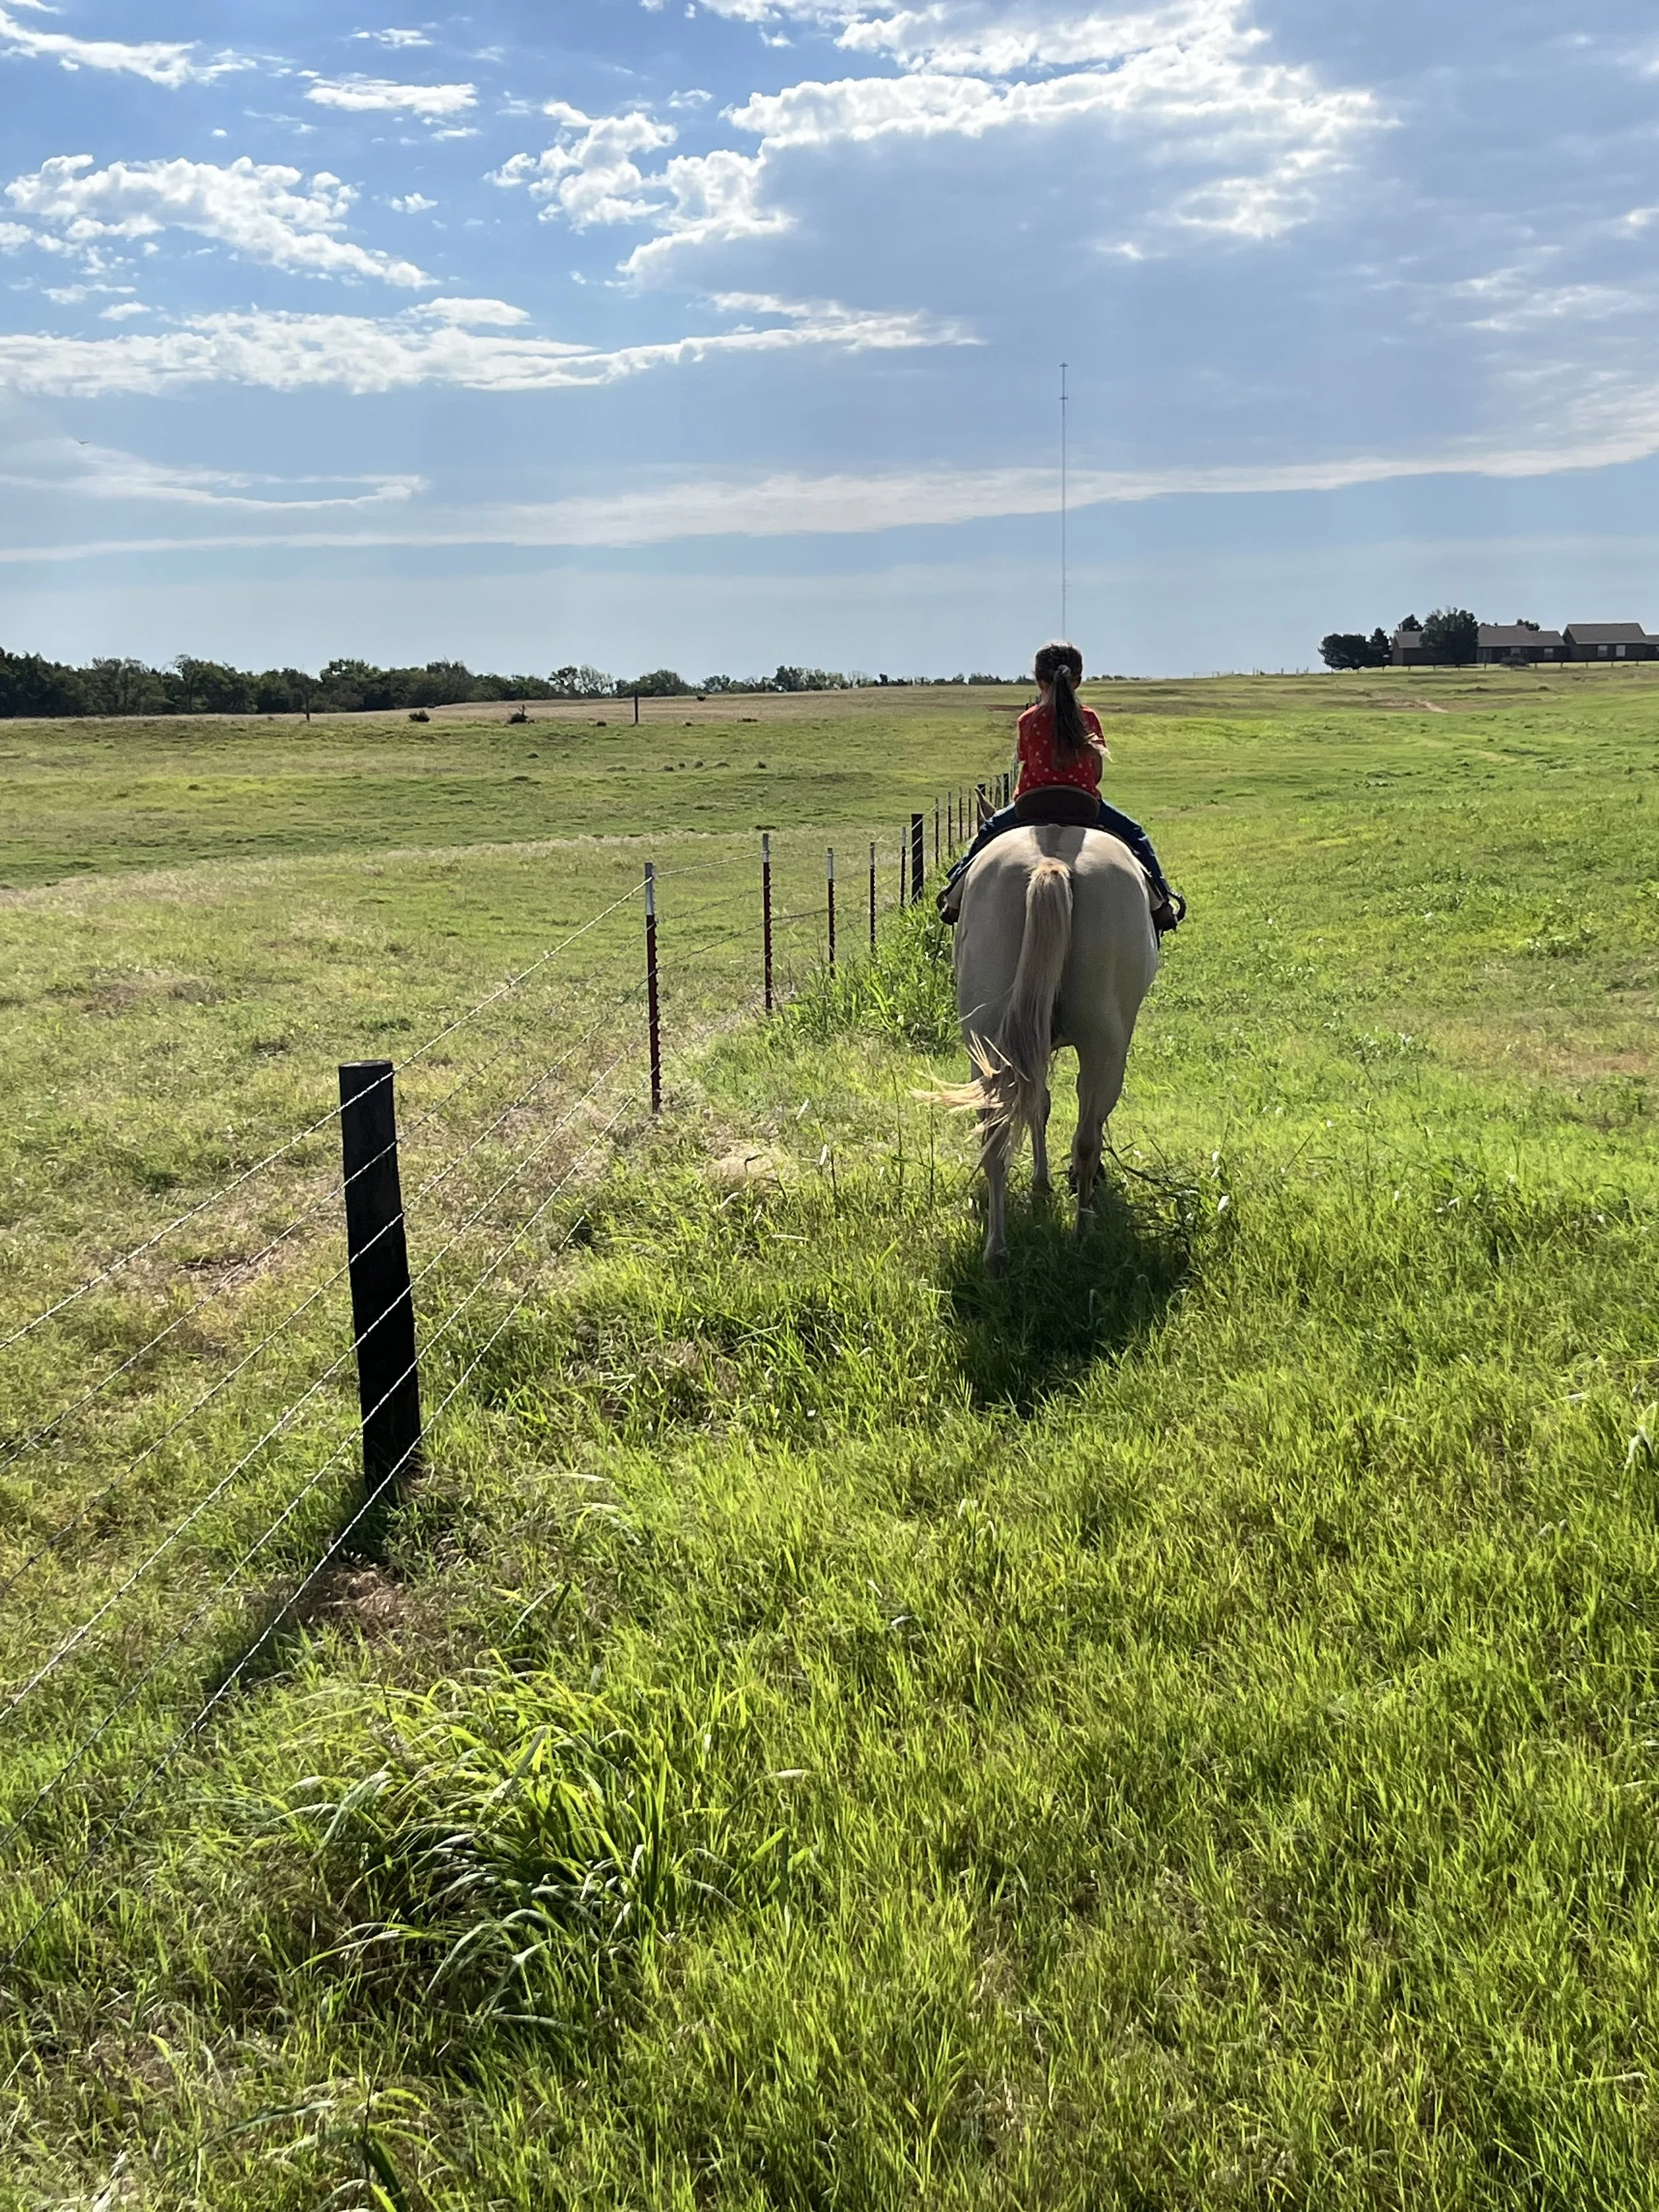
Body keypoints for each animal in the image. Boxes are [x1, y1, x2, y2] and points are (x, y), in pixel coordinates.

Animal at [932, 826, 1159, 1272]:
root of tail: (1050, 865)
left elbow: (1038, 1105)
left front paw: (1041, 1185)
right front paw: (1047, 1184)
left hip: (986, 1043)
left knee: (996, 1135)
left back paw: (997, 1251)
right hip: (1106, 1049)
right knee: (1087, 1139)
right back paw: (1082, 1234)